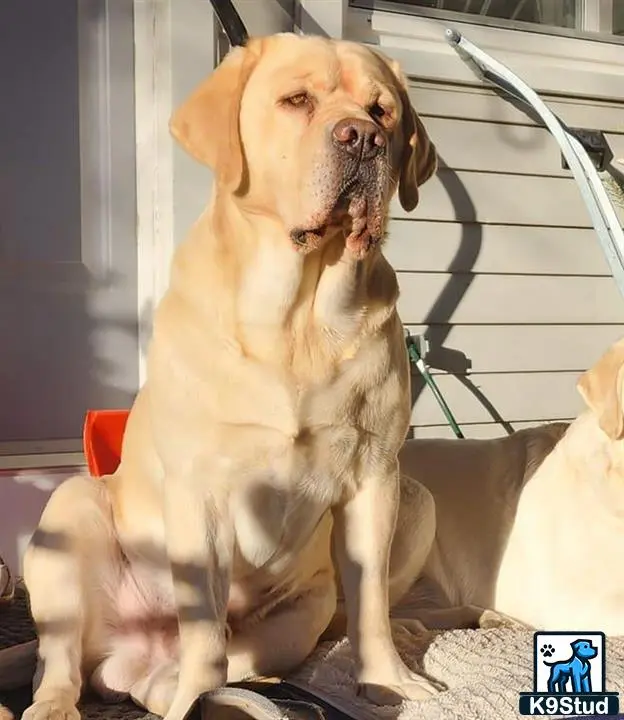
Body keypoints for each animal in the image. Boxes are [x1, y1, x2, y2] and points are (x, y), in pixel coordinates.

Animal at [24, 35, 438, 720]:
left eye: (384, 111)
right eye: (296, 101)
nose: (362, 138)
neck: (300, 320)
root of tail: (130, 651)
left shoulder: (375, 477)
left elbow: (372, 602)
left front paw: (388, 682)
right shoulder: (202, 491)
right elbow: (203, 626)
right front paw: (202, 689)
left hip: (305, 611)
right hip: (69, 512)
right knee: (58, 660)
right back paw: (61, 703)